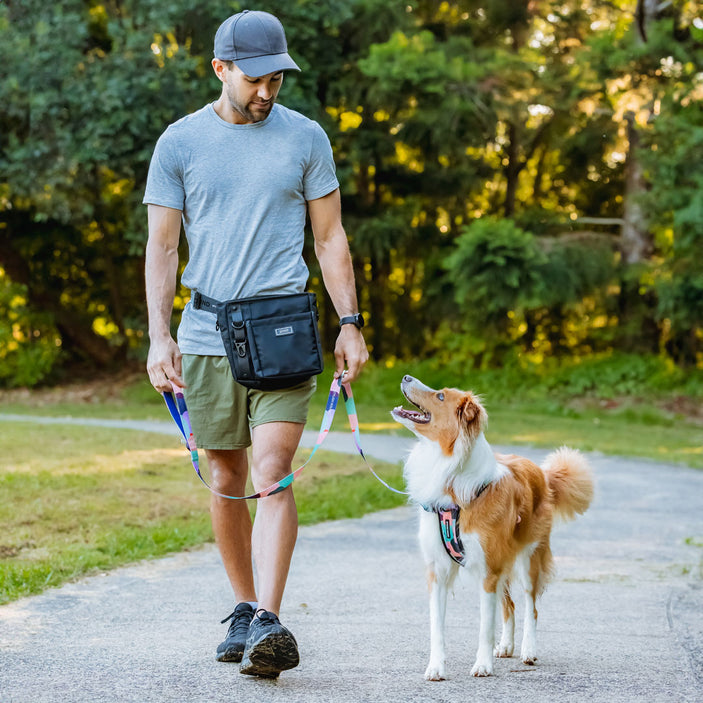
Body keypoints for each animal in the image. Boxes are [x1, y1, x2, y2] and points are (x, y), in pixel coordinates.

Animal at [390, 376, 592, 680]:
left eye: (440, 396)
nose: (405, 377)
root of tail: (542, 473)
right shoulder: (438, 571)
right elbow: (437, 627)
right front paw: (436, 667)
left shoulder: (488, 570)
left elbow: (485, 626)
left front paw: (482, 665)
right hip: (502, 564)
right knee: (509, 606)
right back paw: (506, 646)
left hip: (528, 560)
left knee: (530, 606)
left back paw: (528, 650)